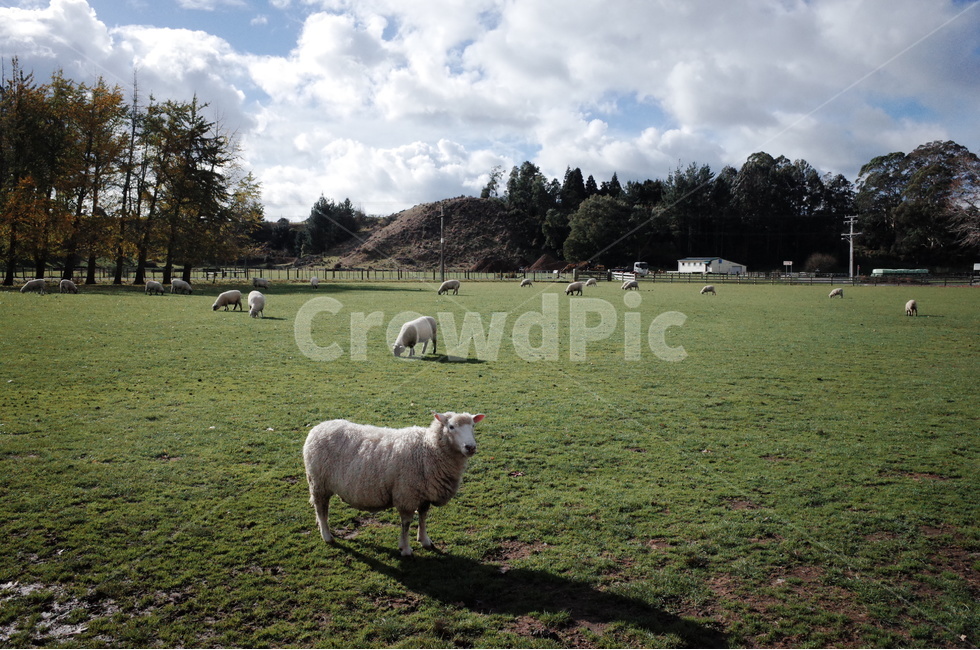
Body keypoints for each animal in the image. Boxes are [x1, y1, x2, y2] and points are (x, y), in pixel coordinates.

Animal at [303, 411, 486, 556]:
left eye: (473, 426)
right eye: (451, 427)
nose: (470, 447)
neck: (427, 448)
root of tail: (318, 427)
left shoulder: (424, 493)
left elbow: (423, 517)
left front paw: (424, 539)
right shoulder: (406, 494)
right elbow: (406, 524)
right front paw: (405, 549)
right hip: (318, 482)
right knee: (321, 509)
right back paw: (327, 536)